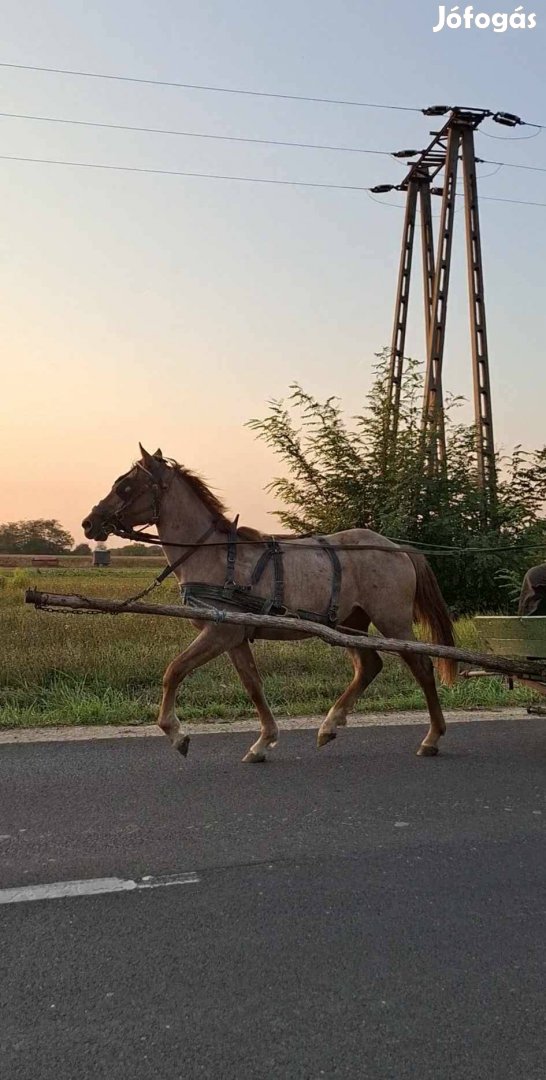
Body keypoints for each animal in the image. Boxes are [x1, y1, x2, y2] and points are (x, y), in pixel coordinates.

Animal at [80, 442, 455, 764]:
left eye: (125, 487)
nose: (88, 522)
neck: (214, 556)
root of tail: (398, 547)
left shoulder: (219, 632)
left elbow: (174, 671)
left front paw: (176, 733)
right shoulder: (234, 637)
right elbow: (253, 685)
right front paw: (263, 741)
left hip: (393, 621)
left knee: (422, 667)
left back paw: (433, 737)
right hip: (351, 624)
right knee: (369, 666)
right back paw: (329, 725)